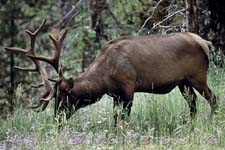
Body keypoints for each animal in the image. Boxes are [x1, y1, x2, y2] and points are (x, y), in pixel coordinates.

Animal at [5, 19, 217, 125]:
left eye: (63, 96)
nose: (57, 120)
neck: (104, 78)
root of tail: (205, 43)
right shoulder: (116, 94)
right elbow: (115, 119)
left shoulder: (129, 88)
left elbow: (123, 119)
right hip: (183, 82)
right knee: (193, 104)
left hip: (198, 76)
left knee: (212, 98)